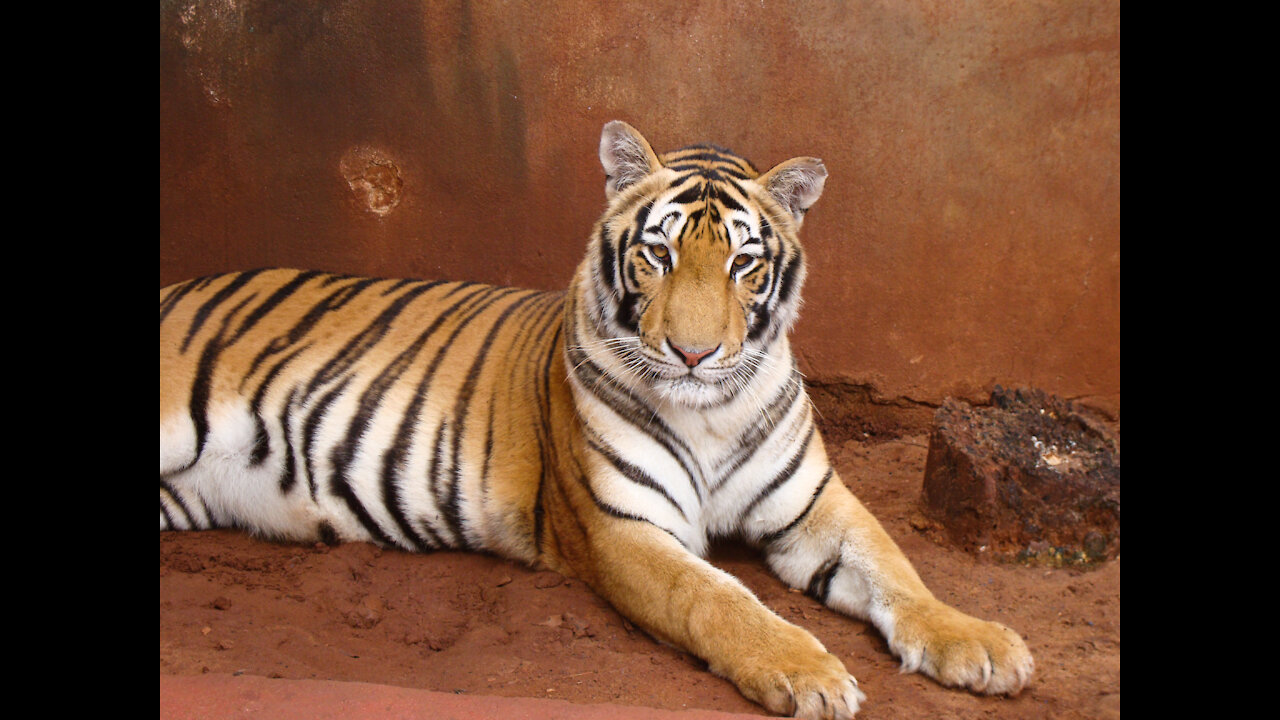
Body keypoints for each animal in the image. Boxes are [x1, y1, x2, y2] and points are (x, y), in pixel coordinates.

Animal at [160, 120, 1034, 712]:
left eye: (743, 263)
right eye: (659, 253)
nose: (693, 353)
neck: (713, 410)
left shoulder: (816, 507)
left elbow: (896, 569)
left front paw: (978, 643)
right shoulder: (626, 529)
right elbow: (716, 600)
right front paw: (809, 671)